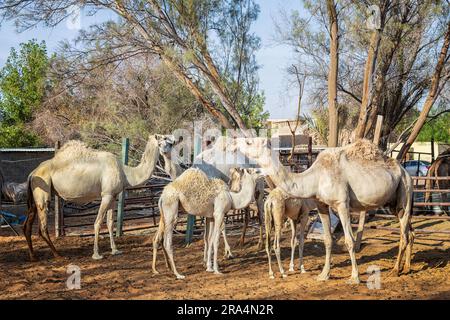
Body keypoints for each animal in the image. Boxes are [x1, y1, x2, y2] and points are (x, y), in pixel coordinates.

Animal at [23, 134, 173, 262]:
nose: (172, 143)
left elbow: (110, 222)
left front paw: (115, 250)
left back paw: (33, 256)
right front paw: (96, 254)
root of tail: (32, 173)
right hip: (43, 192)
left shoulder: (113, 196)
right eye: (162, 140)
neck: (126, 172)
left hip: (35, 196)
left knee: (27, 225)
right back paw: (58, 255)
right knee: (42, 227)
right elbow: (98, 222)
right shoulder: (106, 195)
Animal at [236, 138, 414, 282]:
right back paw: (406, 268)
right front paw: (324, 275)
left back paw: (395, 270)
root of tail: (405, 171)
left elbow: (349, 240)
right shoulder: (321, 205)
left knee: (404, 234)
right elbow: (327, 240)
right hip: (395, 202)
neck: (315, 177)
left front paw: (354, 277)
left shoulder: (342, 203)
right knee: (409, 231)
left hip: (405, 189)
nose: (235, 141)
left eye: (249, 142)